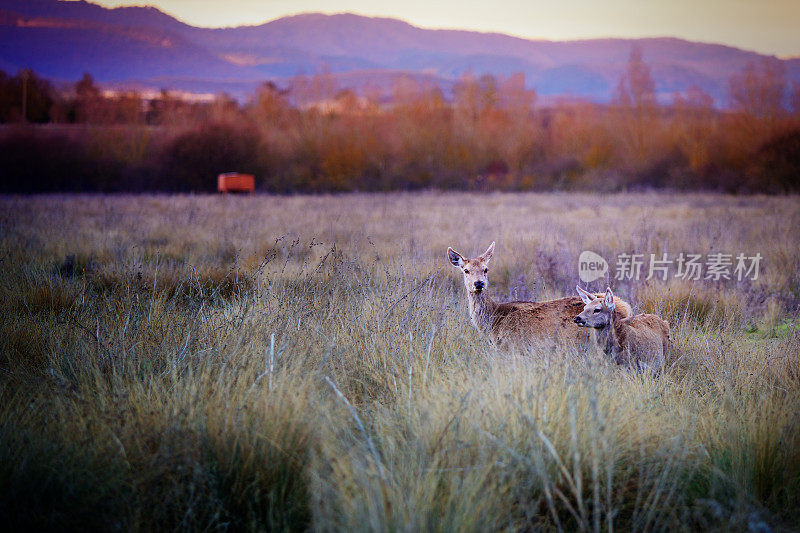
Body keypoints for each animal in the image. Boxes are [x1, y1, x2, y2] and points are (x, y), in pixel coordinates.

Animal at [444, 242, 632, 350]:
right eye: (466, 270)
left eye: (486, 269)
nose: (479, 283)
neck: (493, 322)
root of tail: (625, 308)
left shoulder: (512, 348)